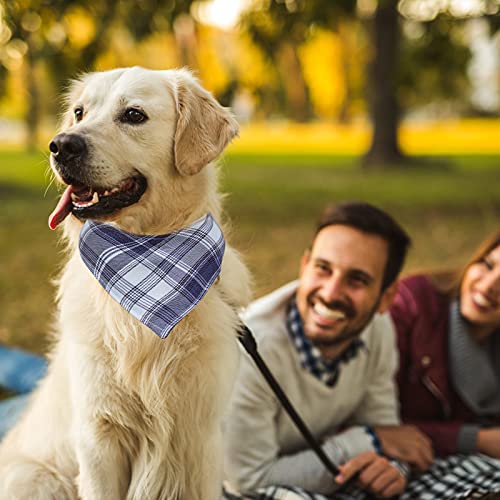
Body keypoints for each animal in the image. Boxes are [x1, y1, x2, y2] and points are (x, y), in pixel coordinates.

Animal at [0, 67, 250, 500]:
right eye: (79, 112)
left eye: (133, 115)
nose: (61, 145)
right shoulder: (100, 435)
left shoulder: (203, 437)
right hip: (37, 478)